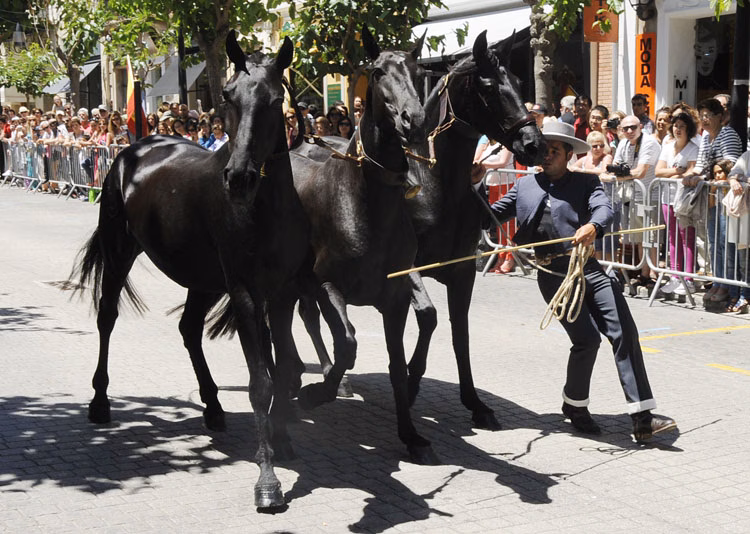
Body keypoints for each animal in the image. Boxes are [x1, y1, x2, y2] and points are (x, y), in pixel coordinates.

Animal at [71, 31, 308, 510]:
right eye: (229, 96)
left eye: (276, 100)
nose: (239, 177)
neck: (265, 209)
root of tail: (136, 145)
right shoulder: (246, 292)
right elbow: (261, 381)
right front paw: (268, 481)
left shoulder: (282, 295)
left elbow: (283, 369)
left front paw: (282, 438)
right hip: (120, 251)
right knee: (107, 317)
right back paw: (100, 401)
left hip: (203, 279)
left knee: (188, 328)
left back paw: (213, 407)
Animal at [286, 27, 439, 464]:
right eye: (378, 71)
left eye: (418, 71)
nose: (413, 119)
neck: (365, 204)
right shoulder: (327, 286)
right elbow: (348, 342)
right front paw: (318, 392)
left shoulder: (396, 298)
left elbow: (397, 365)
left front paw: (410, 434)